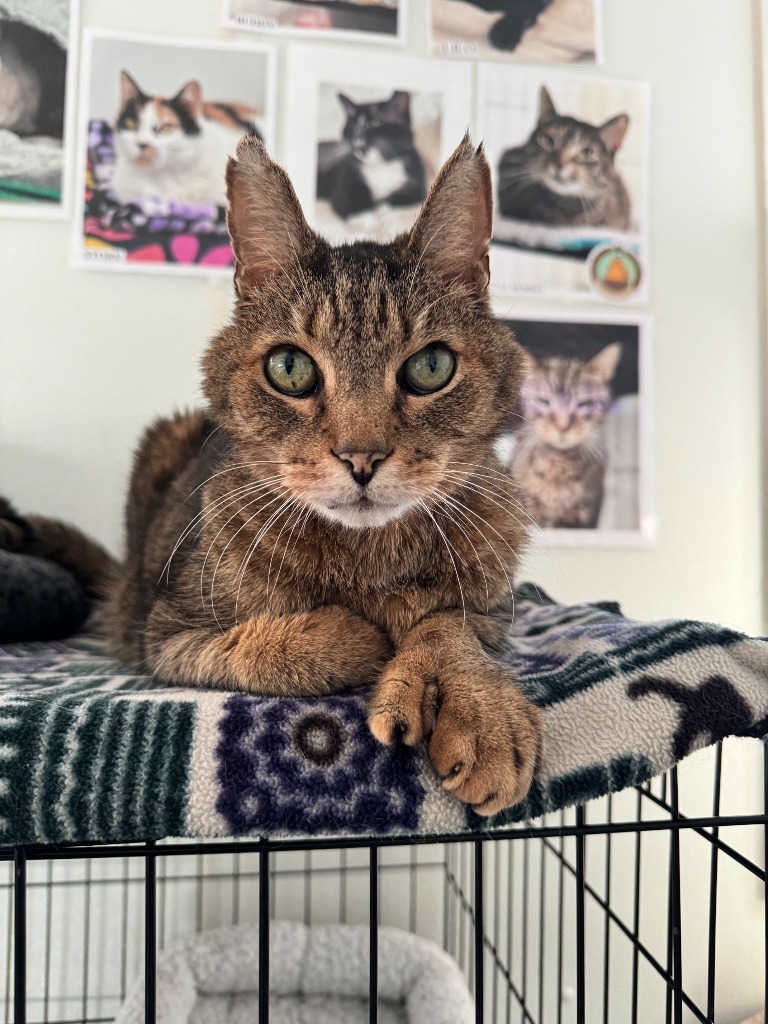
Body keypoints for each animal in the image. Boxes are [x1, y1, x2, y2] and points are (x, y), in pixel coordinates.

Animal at [103, 134, 540, 815]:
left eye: (431, 367)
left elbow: (451, 624)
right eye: (290, 368)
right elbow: (268, 646)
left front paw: (482, 708)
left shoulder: (496, 612)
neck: (367, 561)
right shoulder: (167, 636)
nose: (362, 458)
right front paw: (361, 638)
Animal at [315, 89, 430, 222]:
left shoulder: (416, 188)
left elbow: (398, 200)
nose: (356, 138)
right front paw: (364, 219)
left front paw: (383, 211)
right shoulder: (344, 185)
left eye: (376, 122)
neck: (380, 166)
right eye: (352, 126)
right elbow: (353, 204)